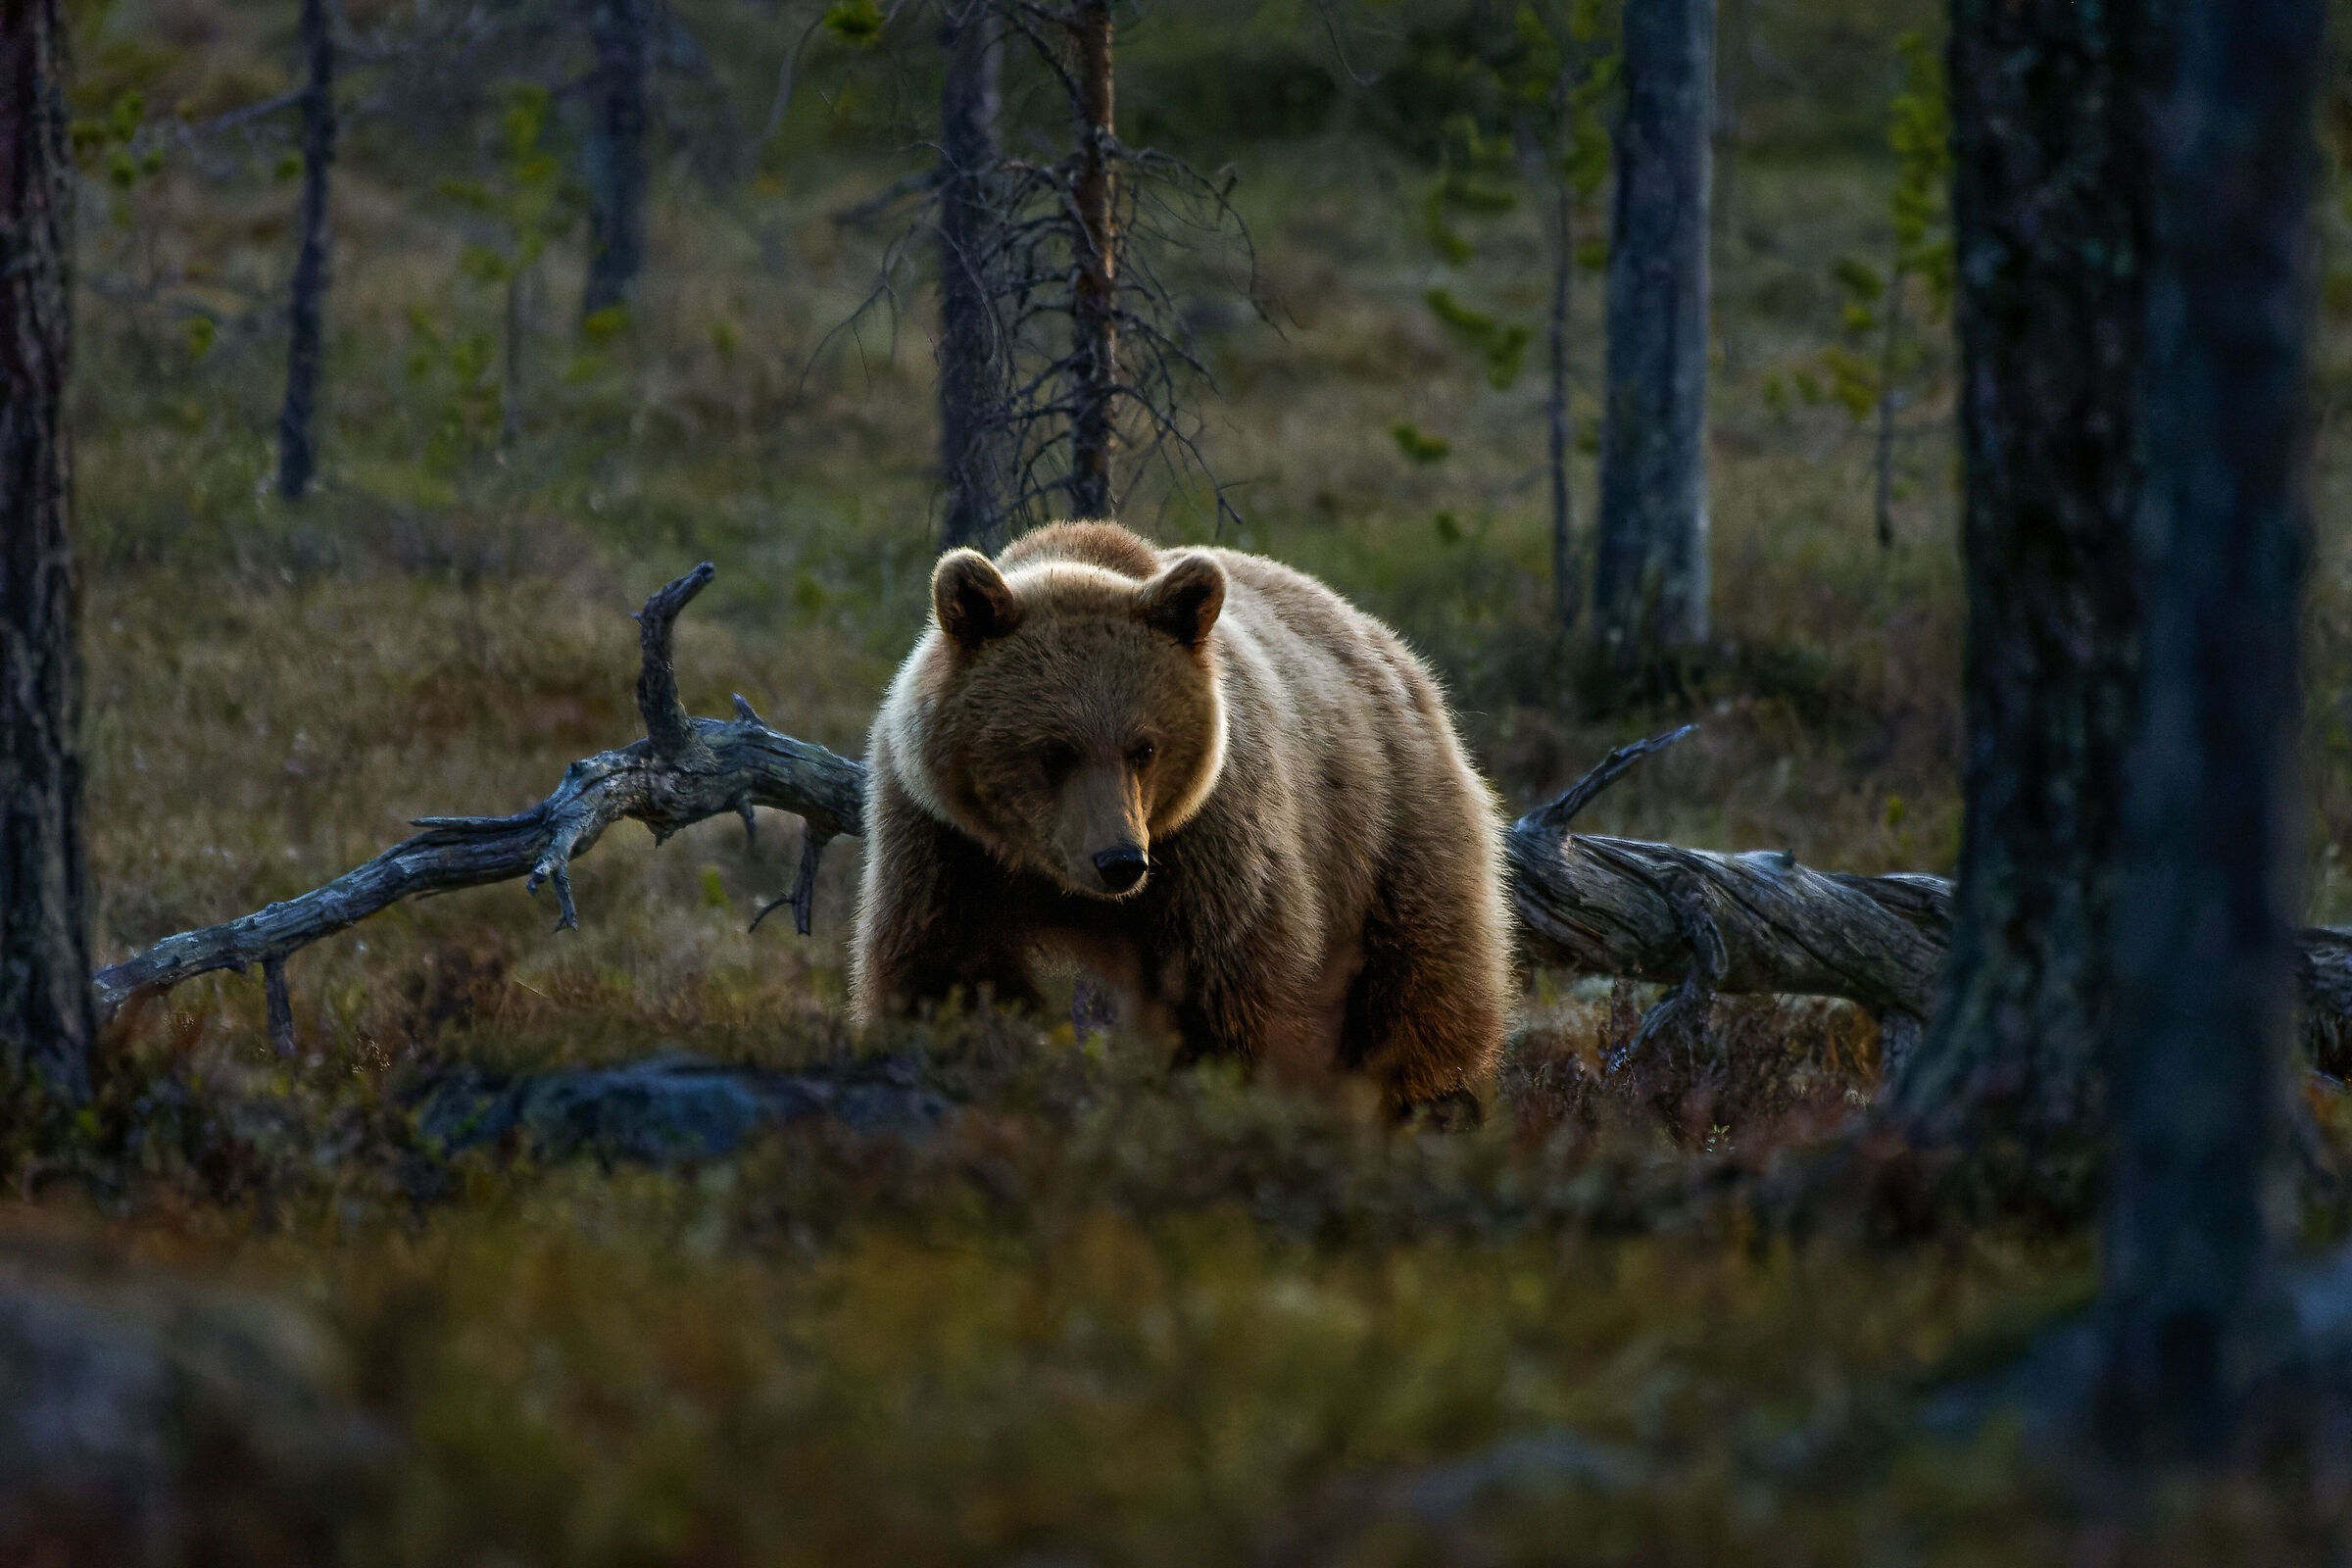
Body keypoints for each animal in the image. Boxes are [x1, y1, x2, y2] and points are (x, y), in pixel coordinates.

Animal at [849, 520, 1510, 1113]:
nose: (1119, 861)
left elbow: (1227, 989)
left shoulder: (1209, 839)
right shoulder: (944, 839)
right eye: (1054, 750)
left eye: (1143, 747)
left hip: (1392, 829)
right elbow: (943, 971)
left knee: (1418, 991)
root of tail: (1393, 649)